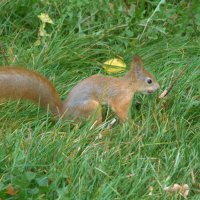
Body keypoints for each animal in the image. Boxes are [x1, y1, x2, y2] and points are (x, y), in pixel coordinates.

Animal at [0, 55, 159, 123]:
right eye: (149, 81)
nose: (159, 87)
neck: (127, 86)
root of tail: (64, 114)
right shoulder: (120, 98)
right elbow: (120, 111)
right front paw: (132, 125)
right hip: (91, 107)